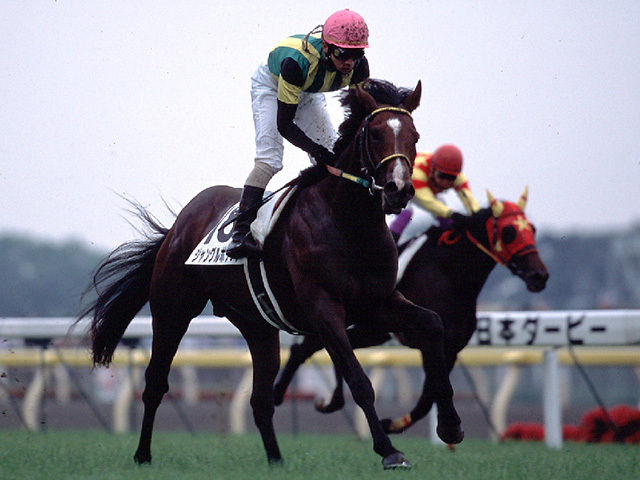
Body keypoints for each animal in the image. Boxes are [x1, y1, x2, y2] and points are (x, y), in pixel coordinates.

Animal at [77, 79, 464, 470]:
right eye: (375, 133)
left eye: (414, 135)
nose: (398, 189)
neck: (348, 223)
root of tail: (179, 225)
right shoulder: (324, 309)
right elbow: (359, 380)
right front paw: (389, 450)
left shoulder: (379, 302)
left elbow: (432, 324)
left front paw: (450, 426)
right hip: (172, 310)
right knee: (156, 382)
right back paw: (142, 454)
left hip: (258, 326)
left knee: (261, 399)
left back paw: (276, 460)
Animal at [273, 187, 549, 434]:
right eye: (510, 231)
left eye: (533, 229)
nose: (540, 276)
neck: (449, 276)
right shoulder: (428, 343)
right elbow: (431, 393)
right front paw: (396, 425)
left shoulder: (450, 347)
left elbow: (429, 396)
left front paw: (398, 425)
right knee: (306, 348)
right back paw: (283, 394)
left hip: (372, 331)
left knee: (322, 346)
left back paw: (328, 400)